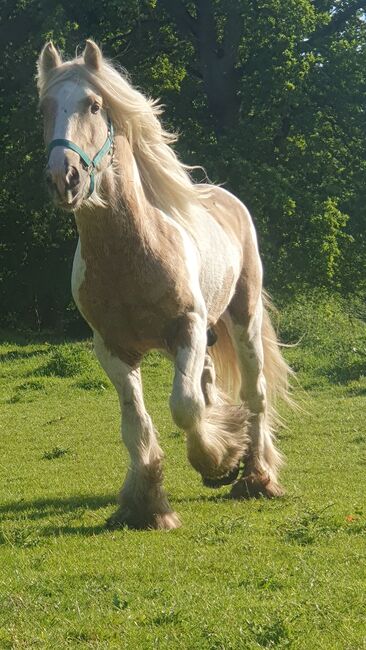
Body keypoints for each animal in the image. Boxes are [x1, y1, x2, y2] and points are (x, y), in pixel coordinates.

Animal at [35, 39, 290, 528]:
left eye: (94, 104)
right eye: (44, 108)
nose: (64, 178)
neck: (130, 256)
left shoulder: (186, 327)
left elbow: (185, 406)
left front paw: (216, 461)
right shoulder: (112, 348)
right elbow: (136, 424)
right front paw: (145, 504)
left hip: (242, 318)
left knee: (254, 392)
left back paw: (255, 475)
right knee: (210, 379)